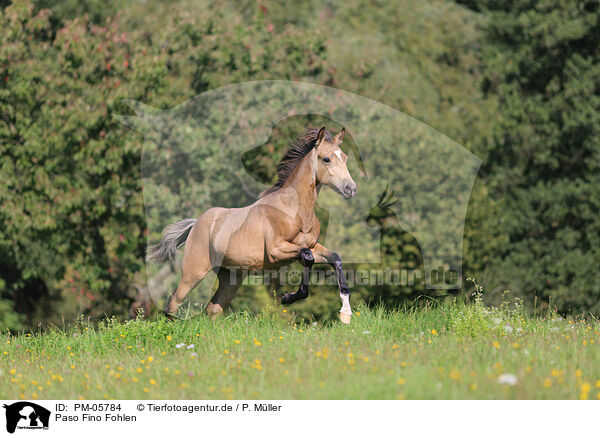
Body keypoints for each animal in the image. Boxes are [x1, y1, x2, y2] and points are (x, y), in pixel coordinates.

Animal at [148, 127, 356, 322]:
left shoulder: (312, 246)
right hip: (194, 272)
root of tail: (196, 223)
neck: (295, 211)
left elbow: (333, 258)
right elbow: (307, 257)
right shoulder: (276, 251)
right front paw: (287, 298)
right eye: (327, 159)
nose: (351, 189)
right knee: (174, 302)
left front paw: (345, 313)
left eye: (345, 158)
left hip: (231, 278)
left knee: (213, 309)